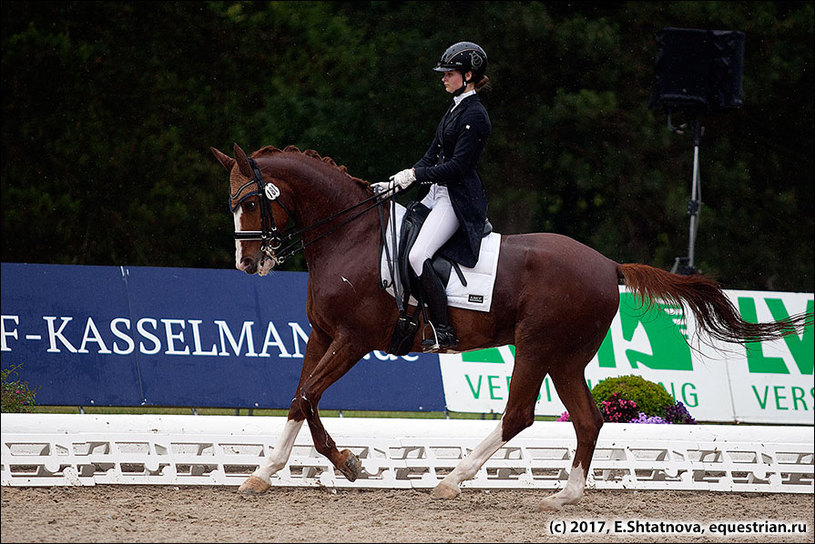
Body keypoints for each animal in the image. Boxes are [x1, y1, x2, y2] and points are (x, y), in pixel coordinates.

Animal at [214, 141, 812, 510]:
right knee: (589, 419)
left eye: (252, 201)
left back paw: (452, 482)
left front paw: (337, 464)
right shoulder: (323, 336)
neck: (349, 237)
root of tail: (608, 265)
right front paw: (287, 469)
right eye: (232, 203)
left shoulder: (355, 340)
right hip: (566, 357)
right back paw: (563, 497)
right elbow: (302, 398)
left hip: (536, 347)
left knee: (519, 415)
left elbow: (306, 395)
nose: (246, 264)